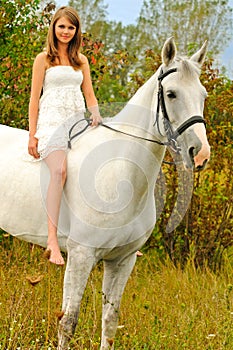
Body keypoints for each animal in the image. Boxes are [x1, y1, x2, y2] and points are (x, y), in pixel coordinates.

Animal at [0, 37, 210, 348]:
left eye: (203, 95)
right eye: (171, 94)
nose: (200, 154)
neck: (120, 173)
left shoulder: (122, 261)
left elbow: (110, 322)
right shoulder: (81, 256)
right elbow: (68, 322)